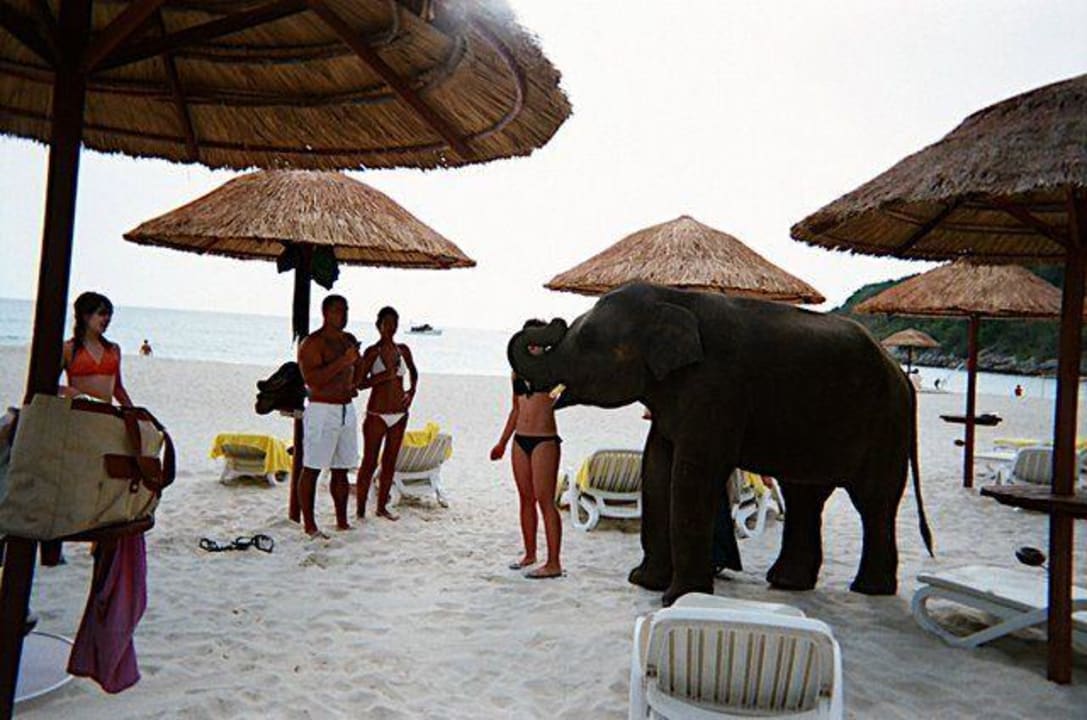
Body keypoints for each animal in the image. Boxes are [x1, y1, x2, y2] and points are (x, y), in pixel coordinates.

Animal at [508, 282, 933, 606]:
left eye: (586, 339)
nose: (551, 321)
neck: (674, 298)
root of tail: (899, 372)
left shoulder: (717, 387)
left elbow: (691, 474)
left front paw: (676, 598)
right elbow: (657, 465)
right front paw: (642, 582)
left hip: (886, 424)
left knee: (873, 502)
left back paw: (869, 590)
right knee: (805, 496)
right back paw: (788, 583)